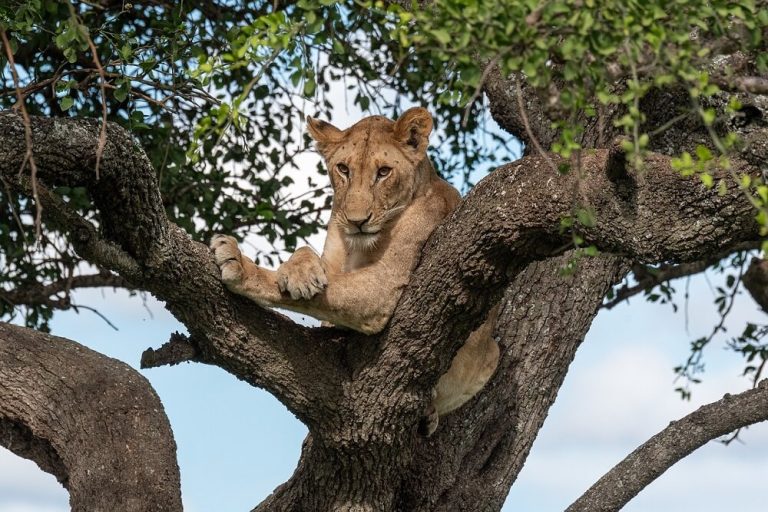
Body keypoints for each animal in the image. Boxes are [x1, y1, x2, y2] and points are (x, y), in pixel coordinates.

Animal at [210, 107, 499, 435]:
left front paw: (238, 264)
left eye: (384, 172)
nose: (357, 221)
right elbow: (307, 256)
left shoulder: (383, 284)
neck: (359, 246)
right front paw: (300, 271)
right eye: (343, 169)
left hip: (492, 354)